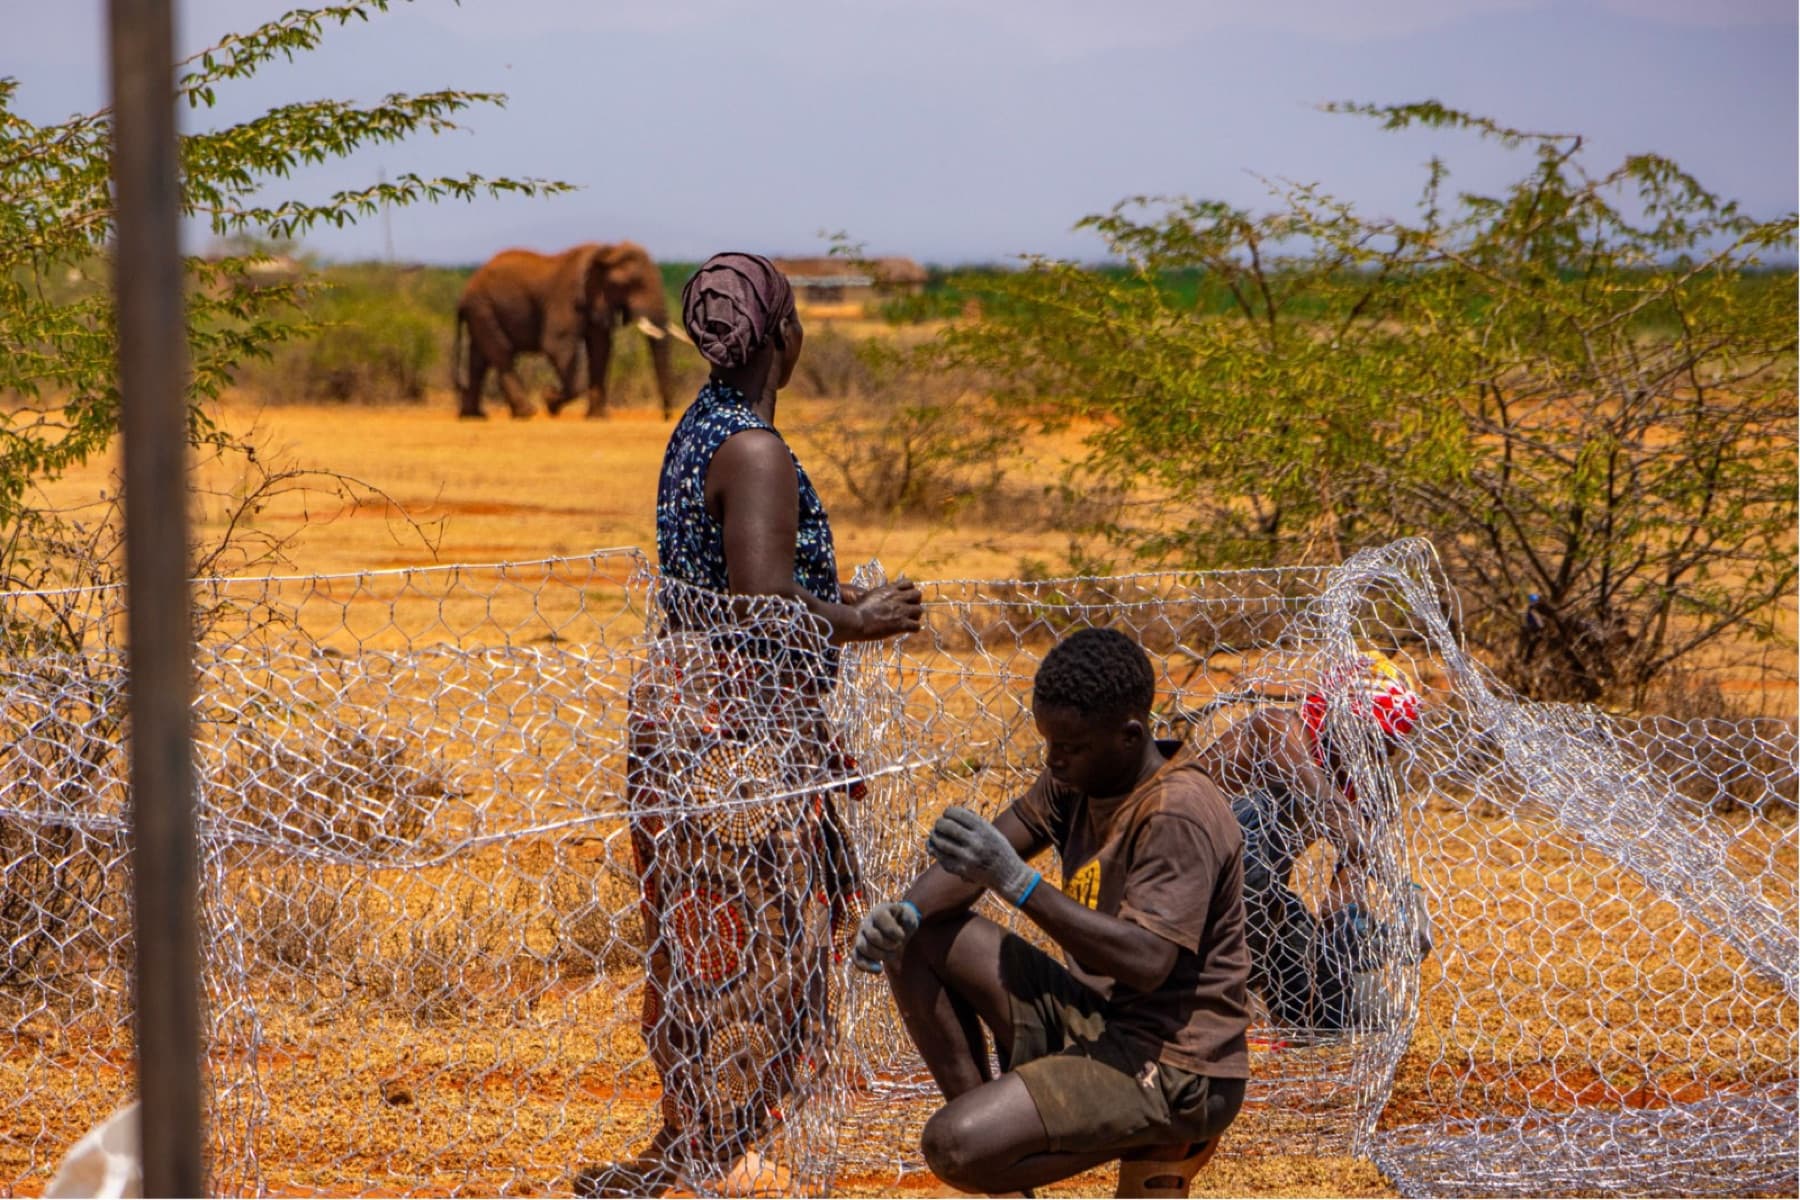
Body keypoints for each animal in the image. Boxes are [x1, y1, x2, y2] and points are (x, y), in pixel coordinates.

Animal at [452, 241, 679, 420]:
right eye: (633, 284)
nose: (666, 416)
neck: (606, 252)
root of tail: (462, 296)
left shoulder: (596, 301)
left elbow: (600, 348)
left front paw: (598, 418)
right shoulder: (566, 298)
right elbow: (556, 344)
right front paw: (550, 400)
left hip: (480, 311)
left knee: (480, 359)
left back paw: (475, 416)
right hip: (482, 308)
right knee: (502, 353)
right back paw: (526, 413)